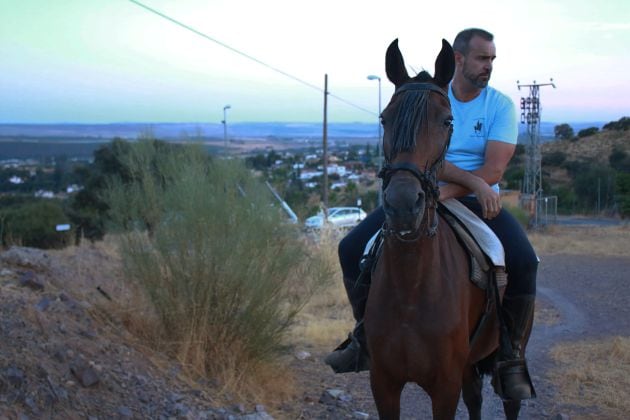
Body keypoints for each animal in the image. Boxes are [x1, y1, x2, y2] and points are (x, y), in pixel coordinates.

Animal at [366, 37, 528, 418]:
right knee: (475, 398)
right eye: (384, 118)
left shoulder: (444, 388)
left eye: (447, 120)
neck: (410, 287)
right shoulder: (383, 385)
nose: (403, 205)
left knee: (510, 400)